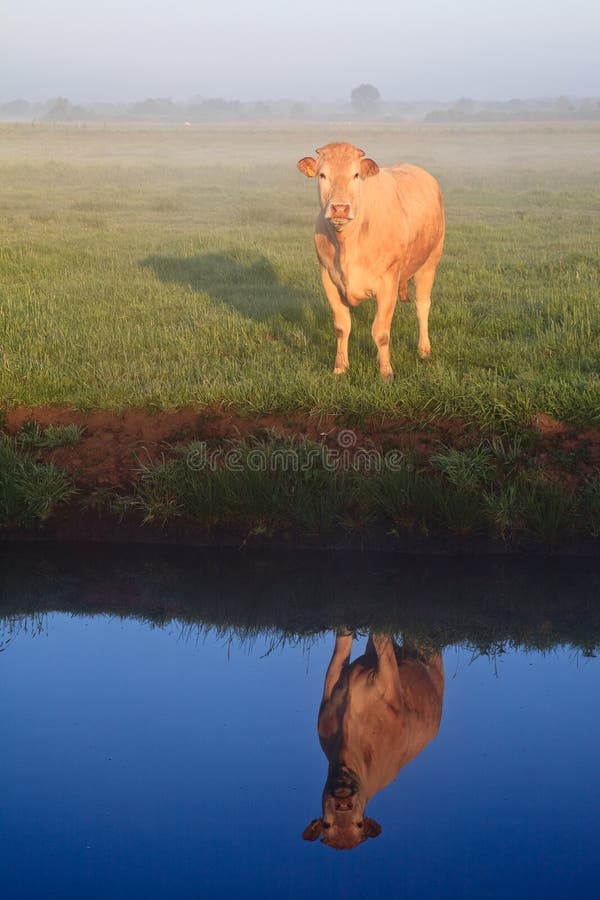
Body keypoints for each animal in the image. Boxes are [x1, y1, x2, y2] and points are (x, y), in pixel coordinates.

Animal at [296, 142, 442, 382]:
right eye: (322, 175)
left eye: (356, 175)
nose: (340, 208)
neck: (347, 243)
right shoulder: (328, 279)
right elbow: (342, 327)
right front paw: (340, 368)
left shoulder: (388, 284)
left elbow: (381, 332)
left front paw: (386, 373)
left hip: (430, 261)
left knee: (422, 305)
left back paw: (424, 349)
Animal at [302, 628, 442, 848]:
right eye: (327, 825)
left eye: (359, 824)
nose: (343, 804)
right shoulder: (333, 681)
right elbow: (344, 639)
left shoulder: (391, 685)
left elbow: (381, 636)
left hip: (430, 652)